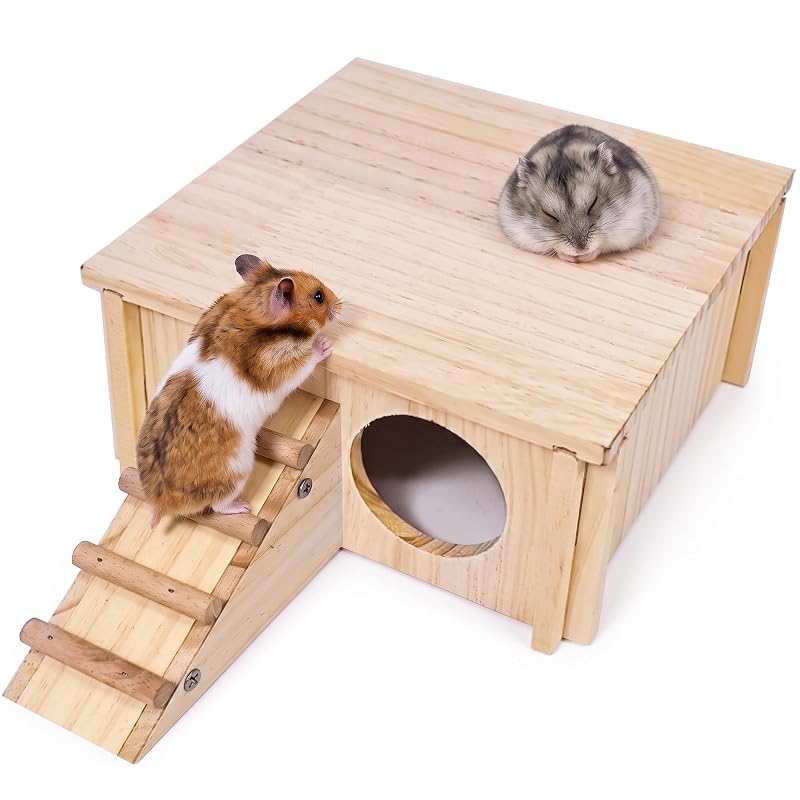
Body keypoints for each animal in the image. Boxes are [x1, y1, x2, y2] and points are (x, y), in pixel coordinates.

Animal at [136, 253, 341, 526]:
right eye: (319, 296)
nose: (340, 303)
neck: (252, 304)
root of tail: (161, 503)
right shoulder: (282, 363)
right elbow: (306, 361)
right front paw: (324, 344)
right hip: (237, 472)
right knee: (217, 506)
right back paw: (242, 507)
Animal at [497, 124, 661, 262]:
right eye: (549, 214)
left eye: (593, 203)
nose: (581, 250)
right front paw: (572, 257)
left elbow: (602, 246)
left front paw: (584, 257)